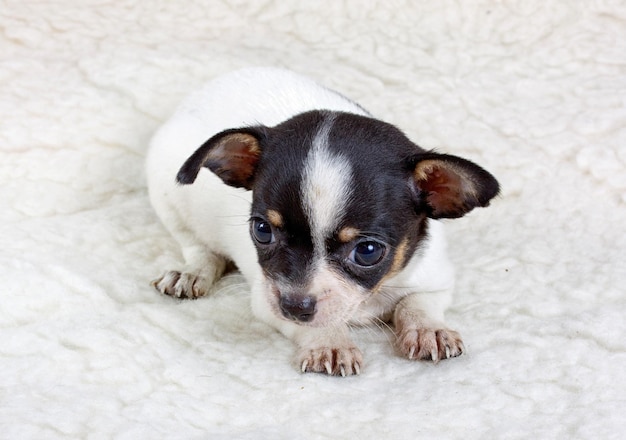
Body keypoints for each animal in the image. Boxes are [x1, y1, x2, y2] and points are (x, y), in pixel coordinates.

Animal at [146, 67, 498, 376]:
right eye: (262, 231)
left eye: (368, 251)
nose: (294, 305)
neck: (371, 296)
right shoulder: (266, 299)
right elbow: (314, 324)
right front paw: (329, 343)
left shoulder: (436, 281)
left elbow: (416, 303)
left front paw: (429, 330)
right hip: (168, 196)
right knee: (198, 247)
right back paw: (192, 272)